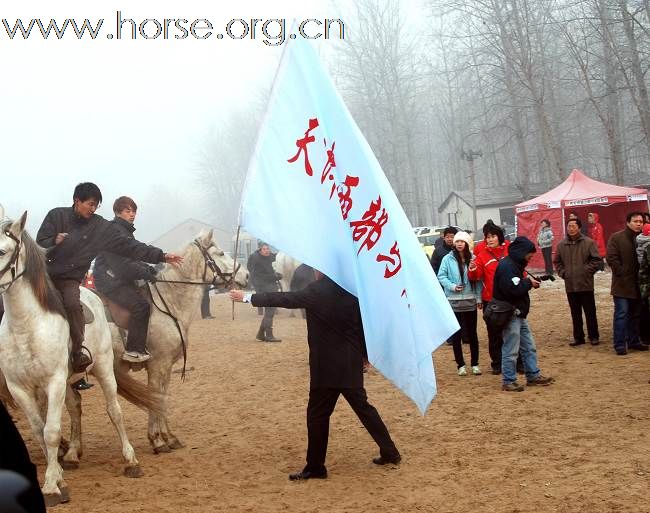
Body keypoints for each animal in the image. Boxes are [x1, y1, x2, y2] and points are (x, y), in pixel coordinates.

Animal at [0, 210, 161, 506]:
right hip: (68, 381)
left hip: (103, 369)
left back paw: (131, 460)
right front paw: (59, 477)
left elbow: (51, 432)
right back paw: (74, 455)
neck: (27, 325)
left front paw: (52, 487)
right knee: (75, 408)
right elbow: (39, 431)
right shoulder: (20, 388)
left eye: (3, 251)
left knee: (114, 411)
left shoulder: (53, 382)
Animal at [109, 229, 246, 452]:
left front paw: (169, 437)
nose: (247, 275)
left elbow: (161, 397)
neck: (168, 302)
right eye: (219, 253)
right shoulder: (158, 365)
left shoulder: (165, 367)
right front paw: (157, 439)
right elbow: (156, 396)